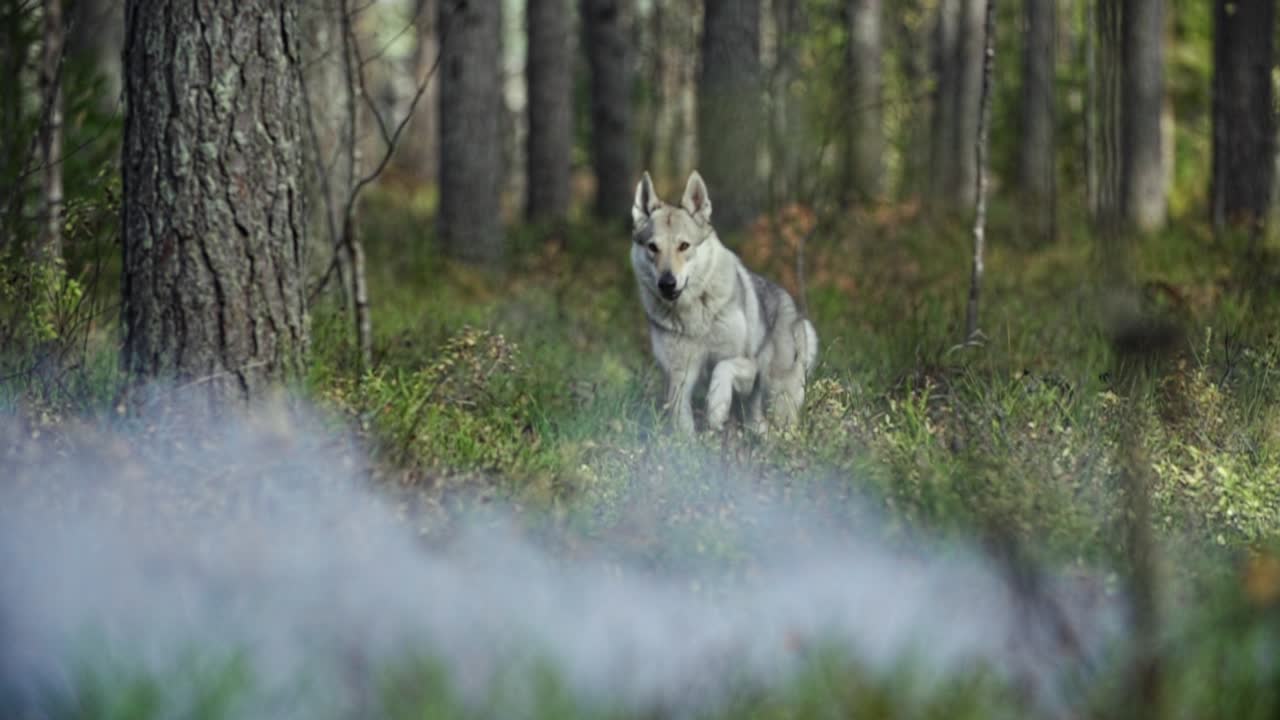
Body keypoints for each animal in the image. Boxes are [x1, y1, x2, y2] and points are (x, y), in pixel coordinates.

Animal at [630, 170, 818, 434]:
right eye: (652, 247)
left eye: (684, 246)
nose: (667, 283)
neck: (694, 316)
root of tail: (793, 308)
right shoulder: (679, 376)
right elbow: (682, 421)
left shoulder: (748, 368)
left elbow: (723, 368)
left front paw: (717, 409)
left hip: (778, 398)